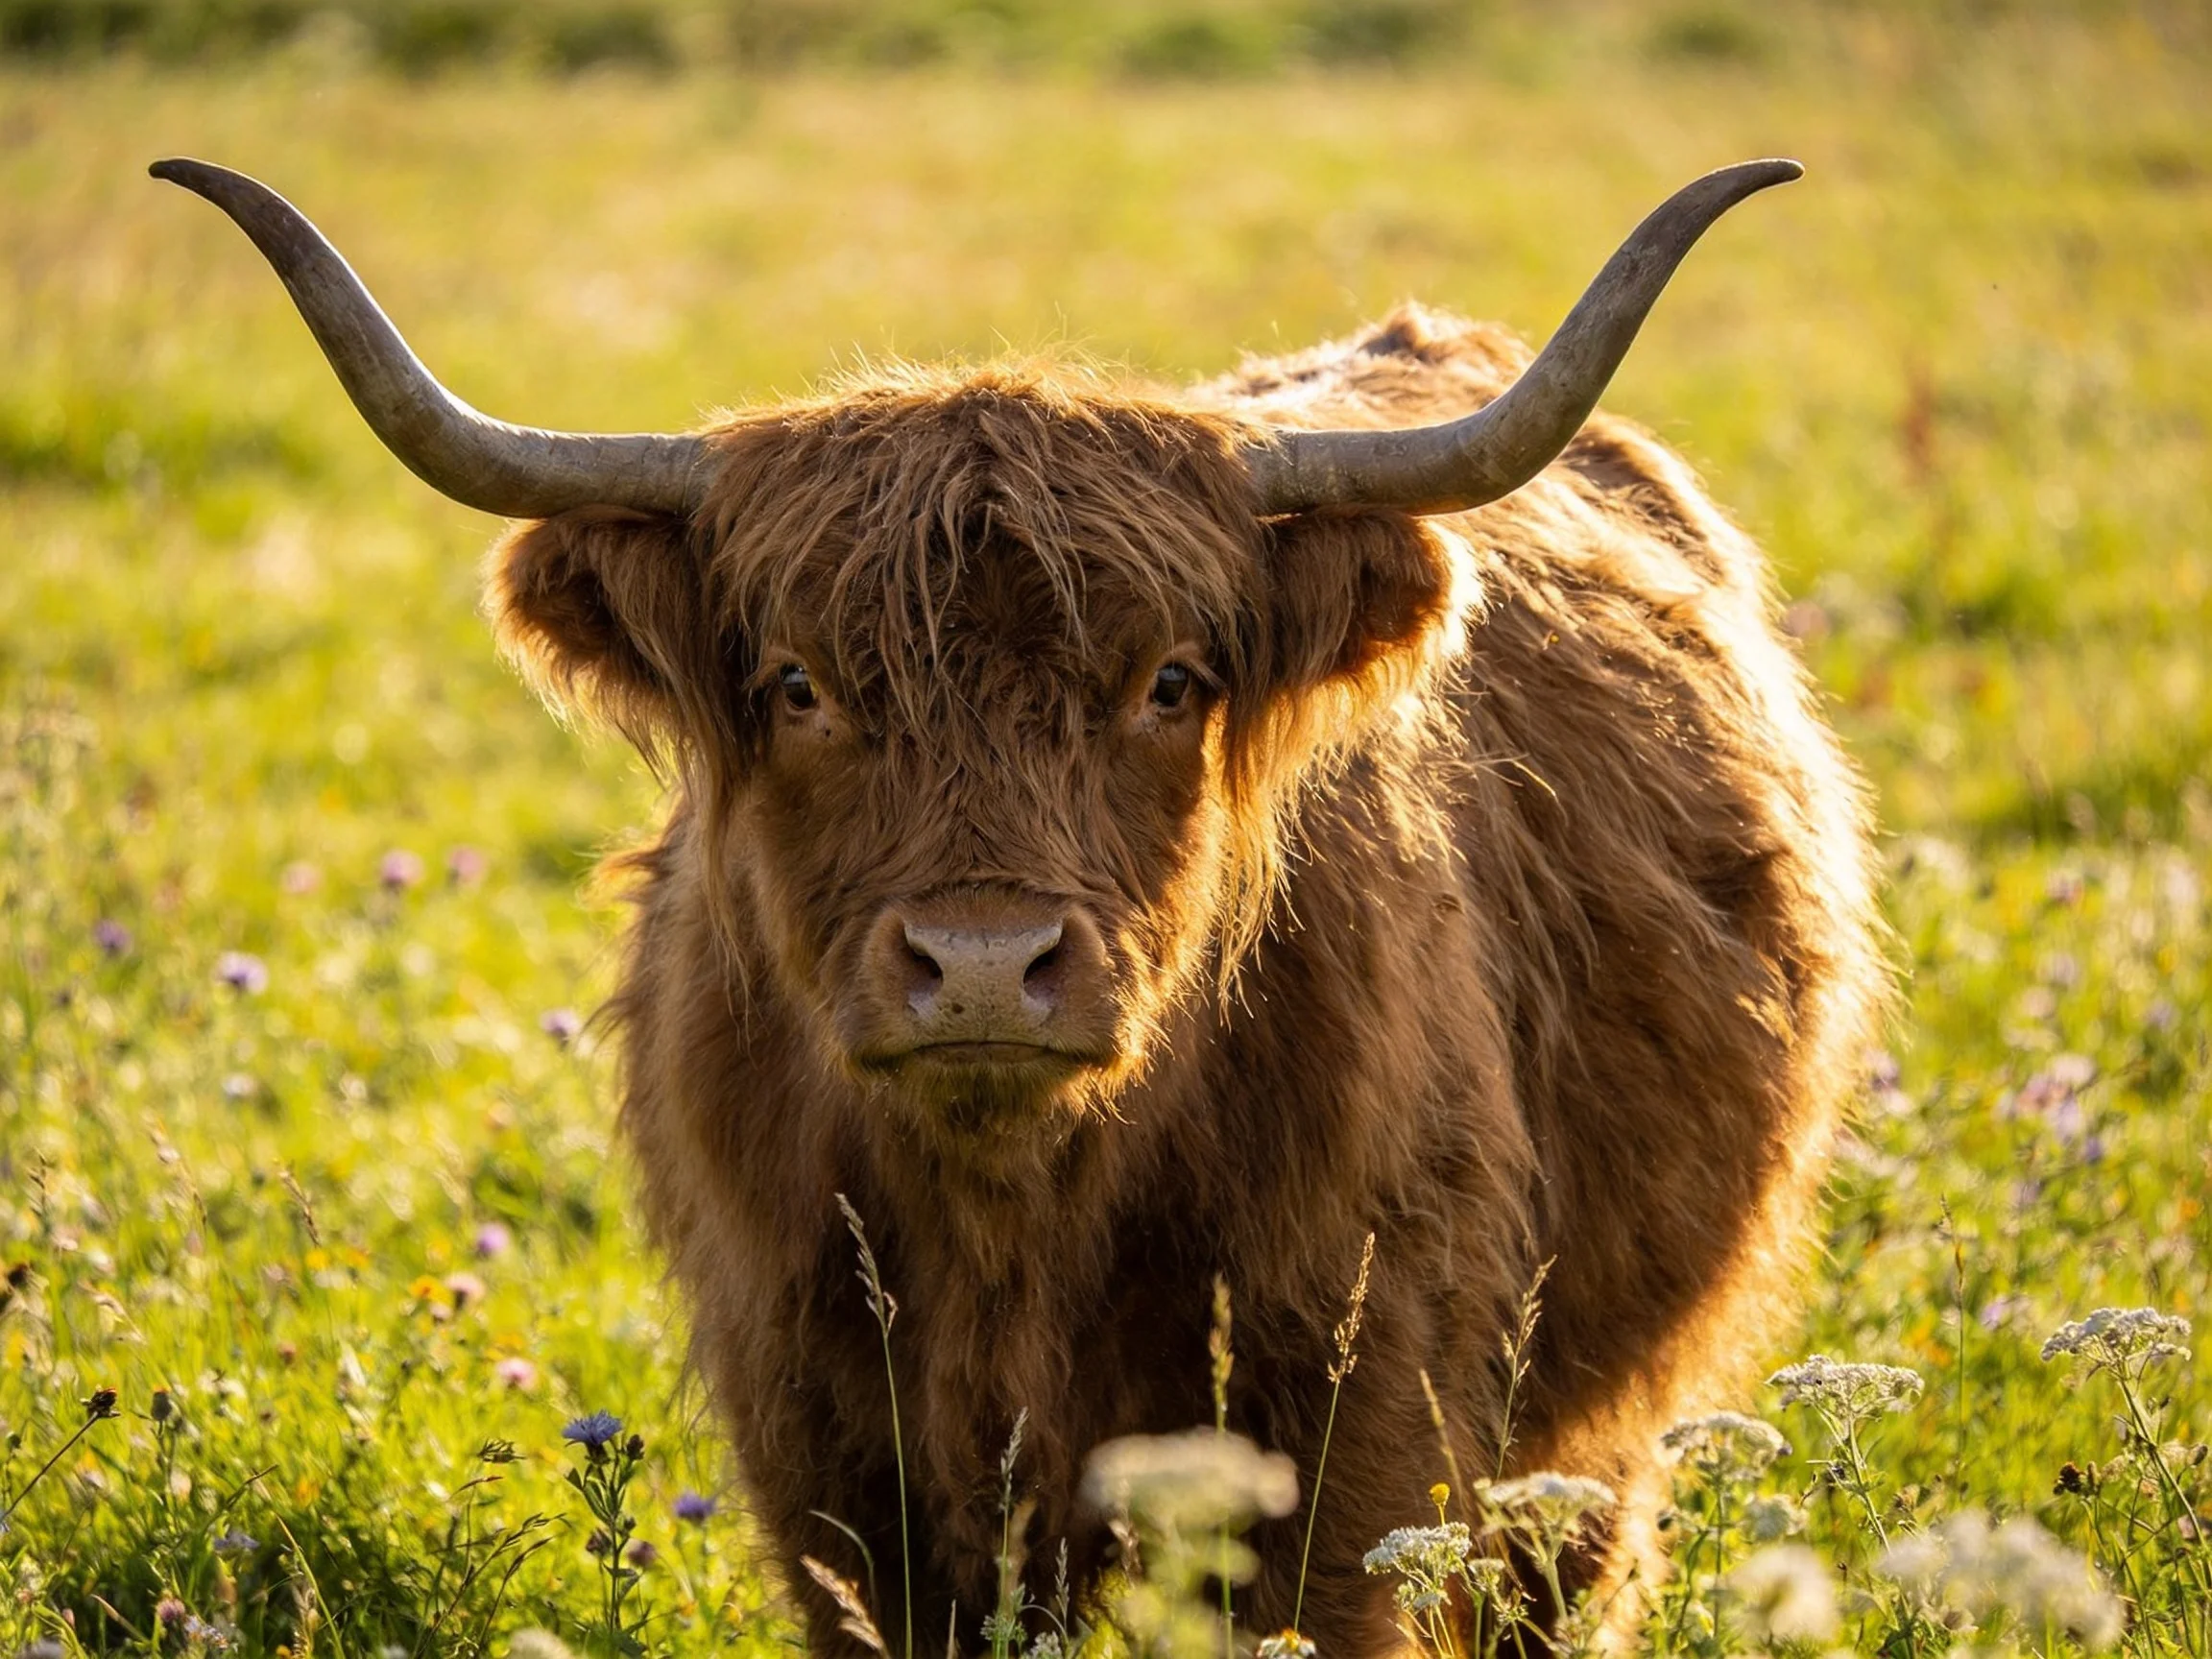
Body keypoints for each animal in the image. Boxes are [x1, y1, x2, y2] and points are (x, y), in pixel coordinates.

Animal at [153, 156, 1887, 1655]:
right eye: (798, 684)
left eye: (1171, 680)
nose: (983, 965)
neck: (1012, 1216)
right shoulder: (827, 1453)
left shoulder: (1358, 1412)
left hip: (1594, 1422)